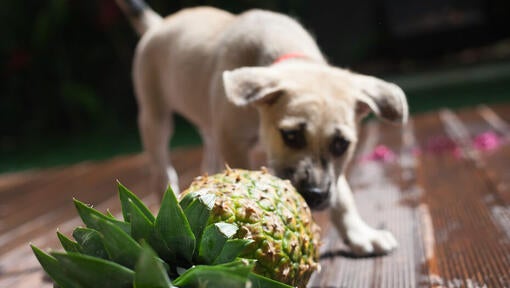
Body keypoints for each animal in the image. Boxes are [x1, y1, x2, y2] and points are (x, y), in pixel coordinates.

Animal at [114, 0, 406, 256]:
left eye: (341, 144)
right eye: (291, 136)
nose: (314, 196)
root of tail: (159, 24)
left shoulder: (332, 172)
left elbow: (343, 195)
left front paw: (359, 234)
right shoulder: (233, 141)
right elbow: (241, 176)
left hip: (208, 124)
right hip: (155, 115)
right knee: (162, 168)